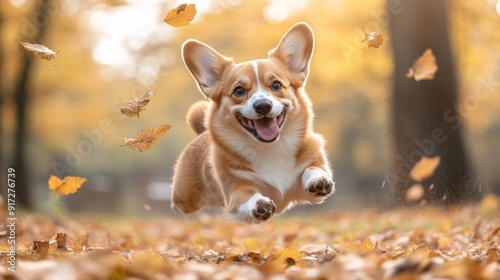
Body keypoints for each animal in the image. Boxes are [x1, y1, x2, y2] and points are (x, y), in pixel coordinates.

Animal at [172, 22, 336, 223]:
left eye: (276, 85)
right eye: (239, 90)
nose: (263, 106)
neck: (270, 149)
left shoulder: (313, 168)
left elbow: (312, 169)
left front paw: (318, 180)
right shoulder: (233, 189)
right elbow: (246, 193)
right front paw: (259, 204)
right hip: (185, 198)